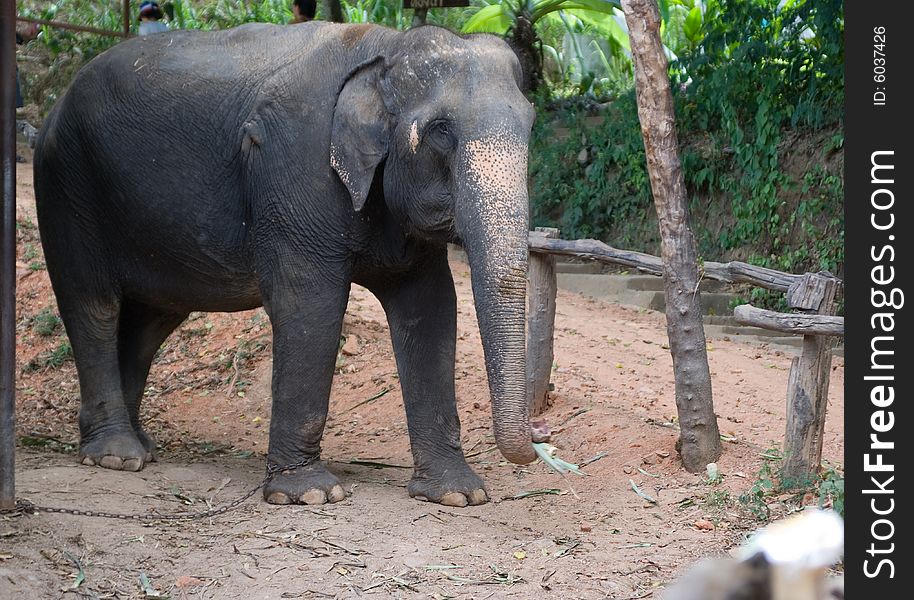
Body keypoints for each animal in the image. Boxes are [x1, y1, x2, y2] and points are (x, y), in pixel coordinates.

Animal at [33, 23, 536, 508]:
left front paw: (458, 495)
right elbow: (309, 305)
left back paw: (140, 447)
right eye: (441, 131)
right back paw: (116, 456)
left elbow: (431, 309)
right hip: (67, 184)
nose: (537, 445)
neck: (383, 47)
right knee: (92, 306)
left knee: (150, 321)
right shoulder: (297, 170)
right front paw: (309, 494)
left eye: (531, 124)